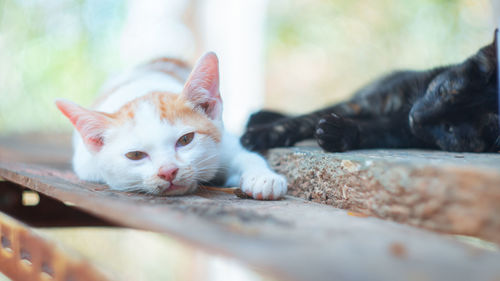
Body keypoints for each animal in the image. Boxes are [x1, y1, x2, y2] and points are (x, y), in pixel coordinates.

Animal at [55, 51, 288, 198]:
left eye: (186, 139)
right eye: (135, 155)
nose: (168, 171)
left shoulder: (223, 141)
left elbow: (245, 156)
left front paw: (263, 178)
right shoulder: (87, 166)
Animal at [240, 31, 498, 152]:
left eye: (450, 128)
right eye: (444, 90)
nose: (416, 117)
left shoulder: (403, 132)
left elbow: (373, 131)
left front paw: (338, 133)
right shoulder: (369, 101)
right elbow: (303, 120)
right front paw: (258, 135)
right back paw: (260, 116)